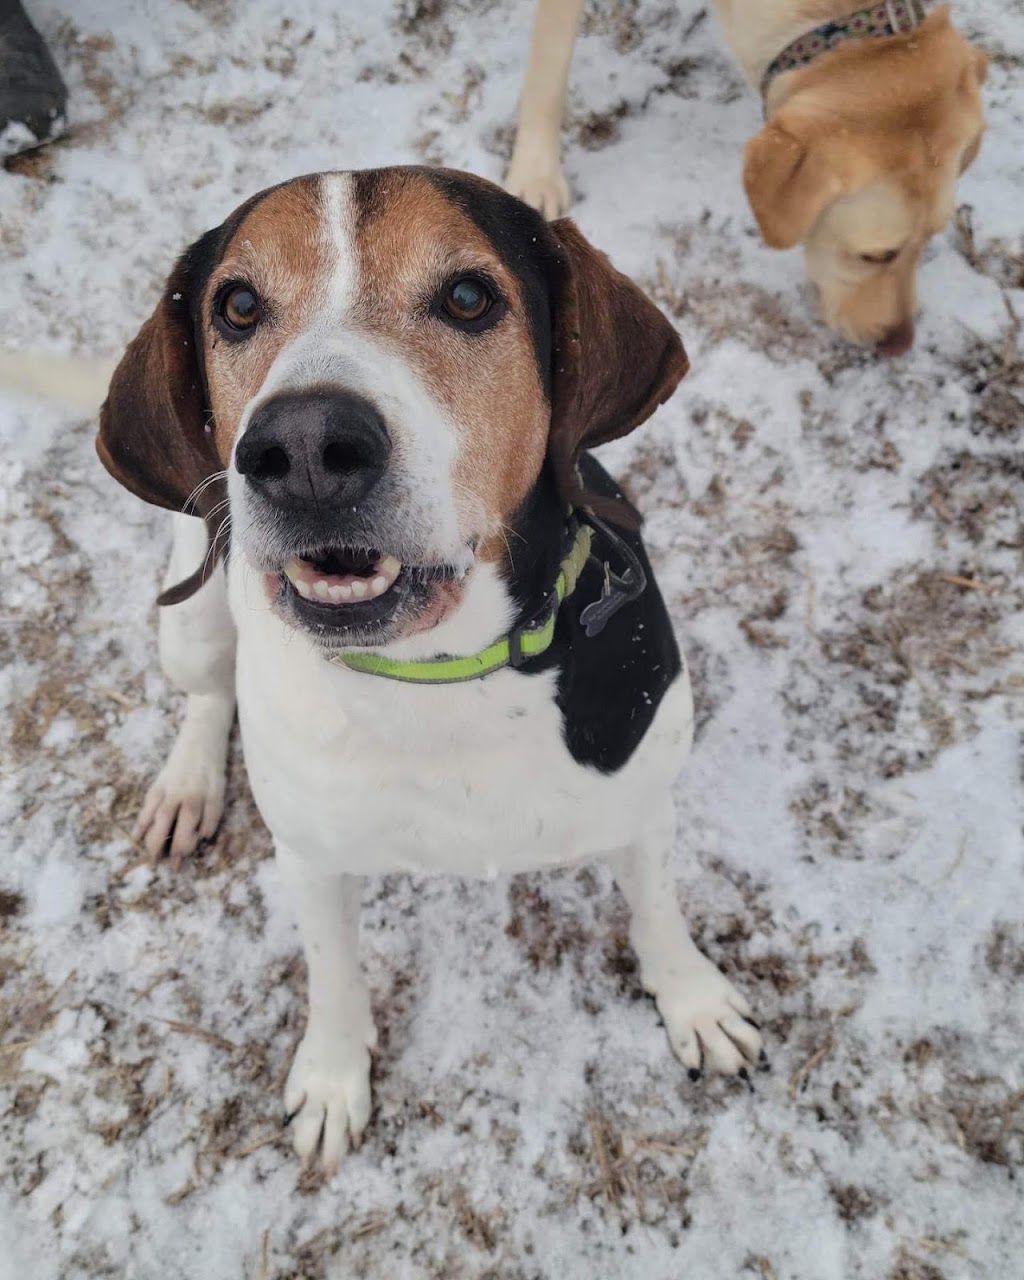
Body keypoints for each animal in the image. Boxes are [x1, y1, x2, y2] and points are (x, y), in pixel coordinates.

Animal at [96, 167, 762, 1172]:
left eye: (469, 297)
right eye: (238, 306)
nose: (302, 448)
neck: (443, 676)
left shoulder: (642, 799)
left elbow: (657, 909)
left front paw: (693, 999)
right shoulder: (311, 854)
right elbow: (333, 974)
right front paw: (333, 1076)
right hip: (195, 608)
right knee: (207, 694)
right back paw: (186, 786)